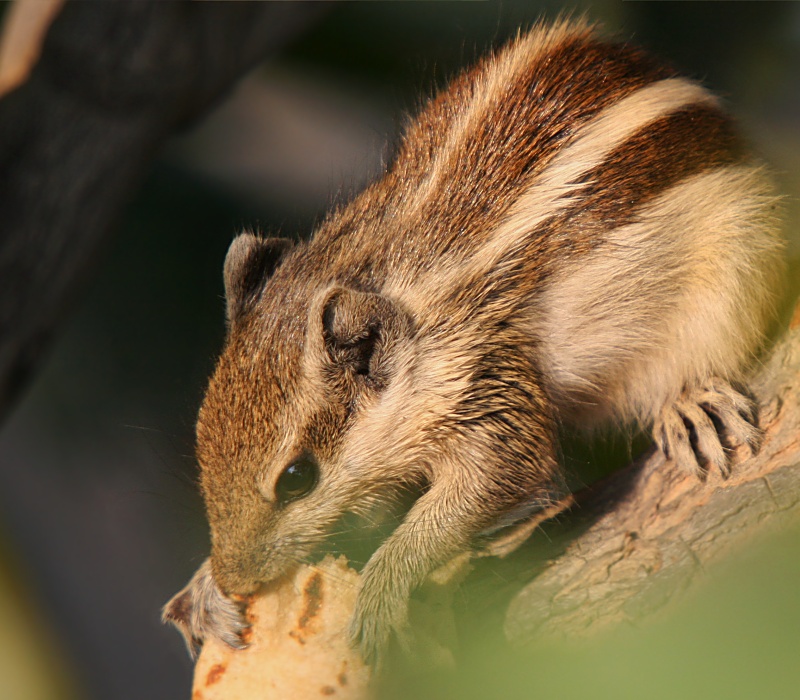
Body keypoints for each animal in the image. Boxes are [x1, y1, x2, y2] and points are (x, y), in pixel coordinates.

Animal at [162, 18, 784, 664]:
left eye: (296, 479)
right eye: (202, 442)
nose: (234, 576)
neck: (415, 326)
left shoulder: (484, 383)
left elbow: (495, 477)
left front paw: (386, 583)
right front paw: (201, 590)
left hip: (739, 255)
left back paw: (689, 404)